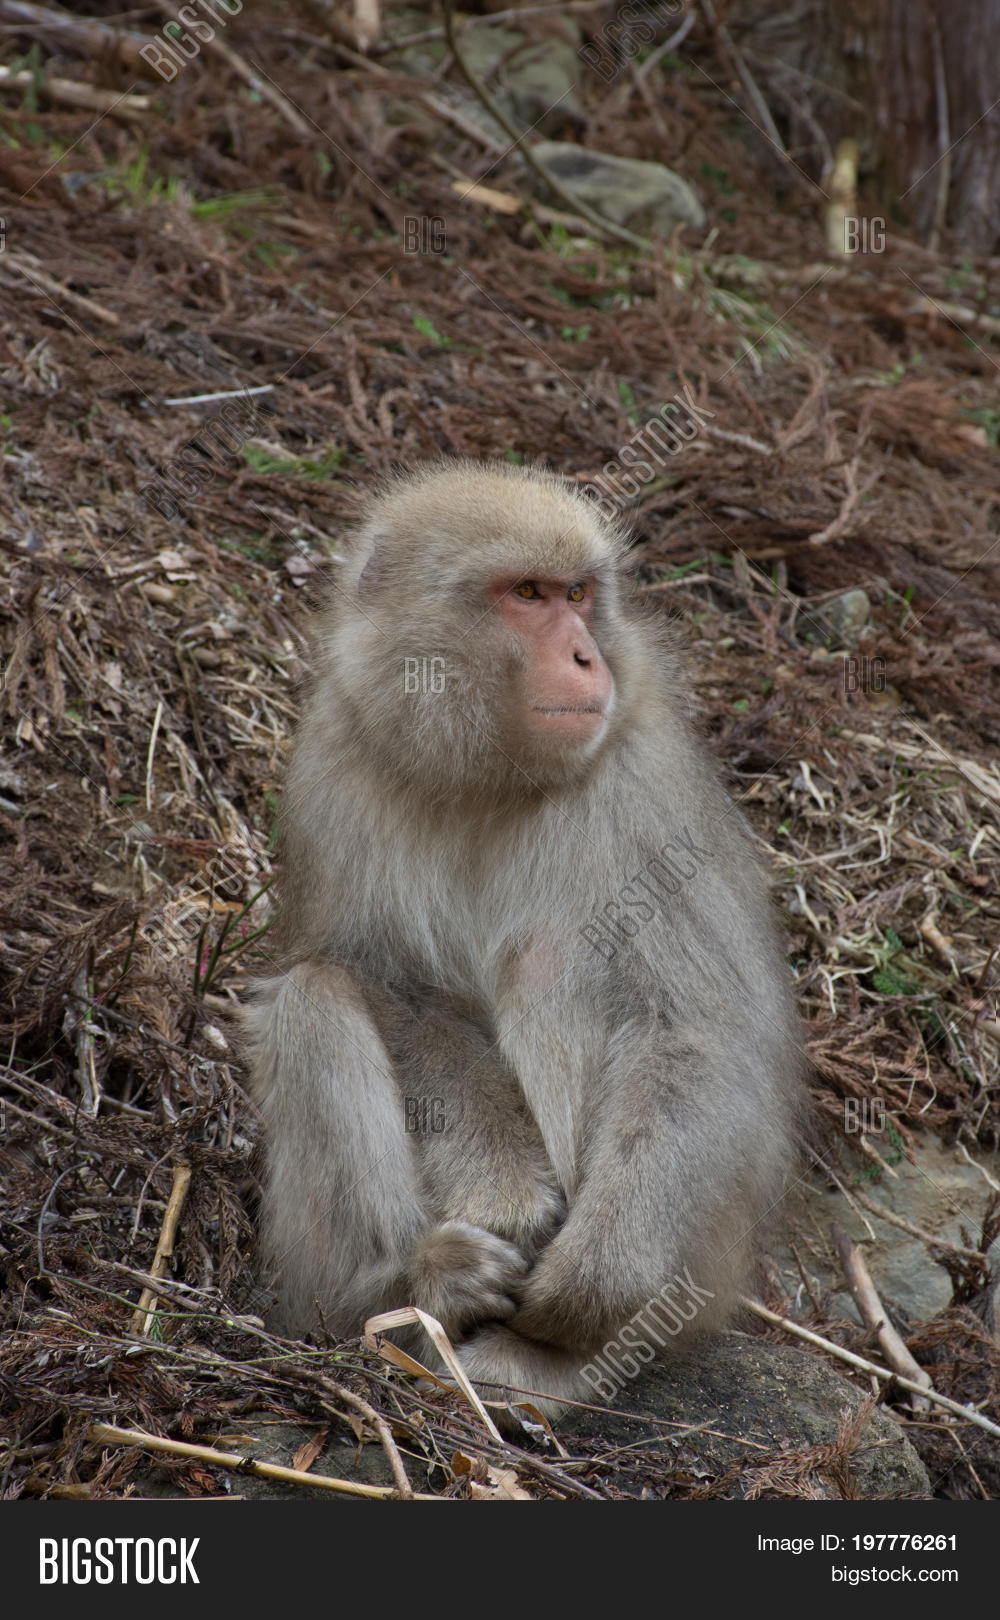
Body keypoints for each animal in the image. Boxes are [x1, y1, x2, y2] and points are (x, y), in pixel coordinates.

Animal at [242, 459, 803, 1426]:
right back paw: (410, 1290)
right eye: (529, 595)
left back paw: (542, 1368)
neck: (485, 775)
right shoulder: (333, 766)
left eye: (579, 596)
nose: (585, 656)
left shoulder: (643, 789)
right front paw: (499, 1190)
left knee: (552, 960)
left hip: (702, 1263)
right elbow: (389, 985)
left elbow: (691, 1029)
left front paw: (594, 1280)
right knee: (312, 997)